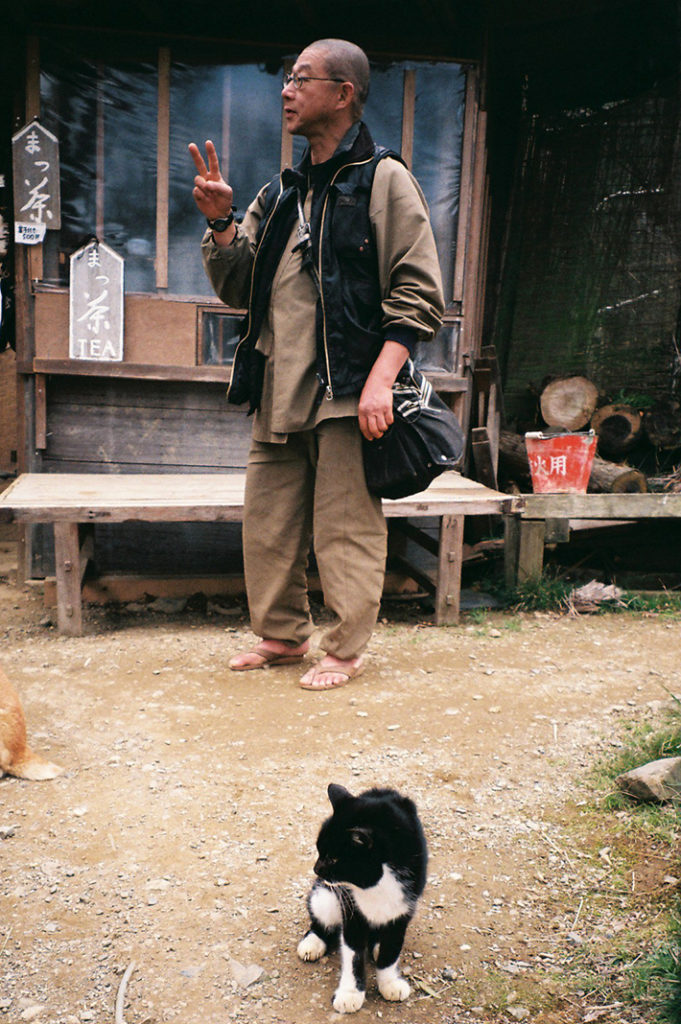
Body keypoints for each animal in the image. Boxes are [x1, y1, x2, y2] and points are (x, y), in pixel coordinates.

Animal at [296, 786, 426, 1011]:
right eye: (320, 851)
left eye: (333, 858)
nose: (316, 869)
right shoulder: (350, 909)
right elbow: (353, 953)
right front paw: (350, 994)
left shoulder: (403, 908)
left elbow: (391, 950)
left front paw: (389, 983)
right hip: (325, 896)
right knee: (320, 919)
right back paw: (312, 942)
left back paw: (376, 945)